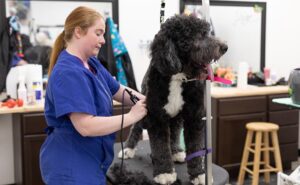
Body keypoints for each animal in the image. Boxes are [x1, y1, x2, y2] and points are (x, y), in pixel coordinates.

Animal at [117, 14, 227, 185]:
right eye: (198, 36)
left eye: (207, 32)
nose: (224, 47)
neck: (178, 76)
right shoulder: (155, 116)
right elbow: (160, 147)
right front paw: (165, 172)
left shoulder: (194, 116)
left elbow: (196, 147)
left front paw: (199, 174)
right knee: (137, 127)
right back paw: (129, 148)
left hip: (176, 116)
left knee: (174, 131)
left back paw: (175, 151)